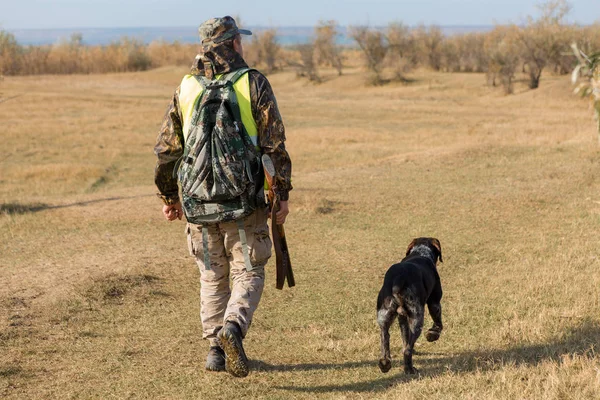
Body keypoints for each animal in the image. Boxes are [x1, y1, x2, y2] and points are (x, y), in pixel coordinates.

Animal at [378, 238, 442, 376]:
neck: (421, 252)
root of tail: (399, 278)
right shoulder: (434, 303)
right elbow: (438, 324)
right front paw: (433, 335)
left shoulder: (401, 317)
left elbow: (405, 338)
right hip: (417, 317)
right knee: (407, 350)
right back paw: (410, 369)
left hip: (384, 316)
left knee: (385, 338)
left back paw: (385, 364)